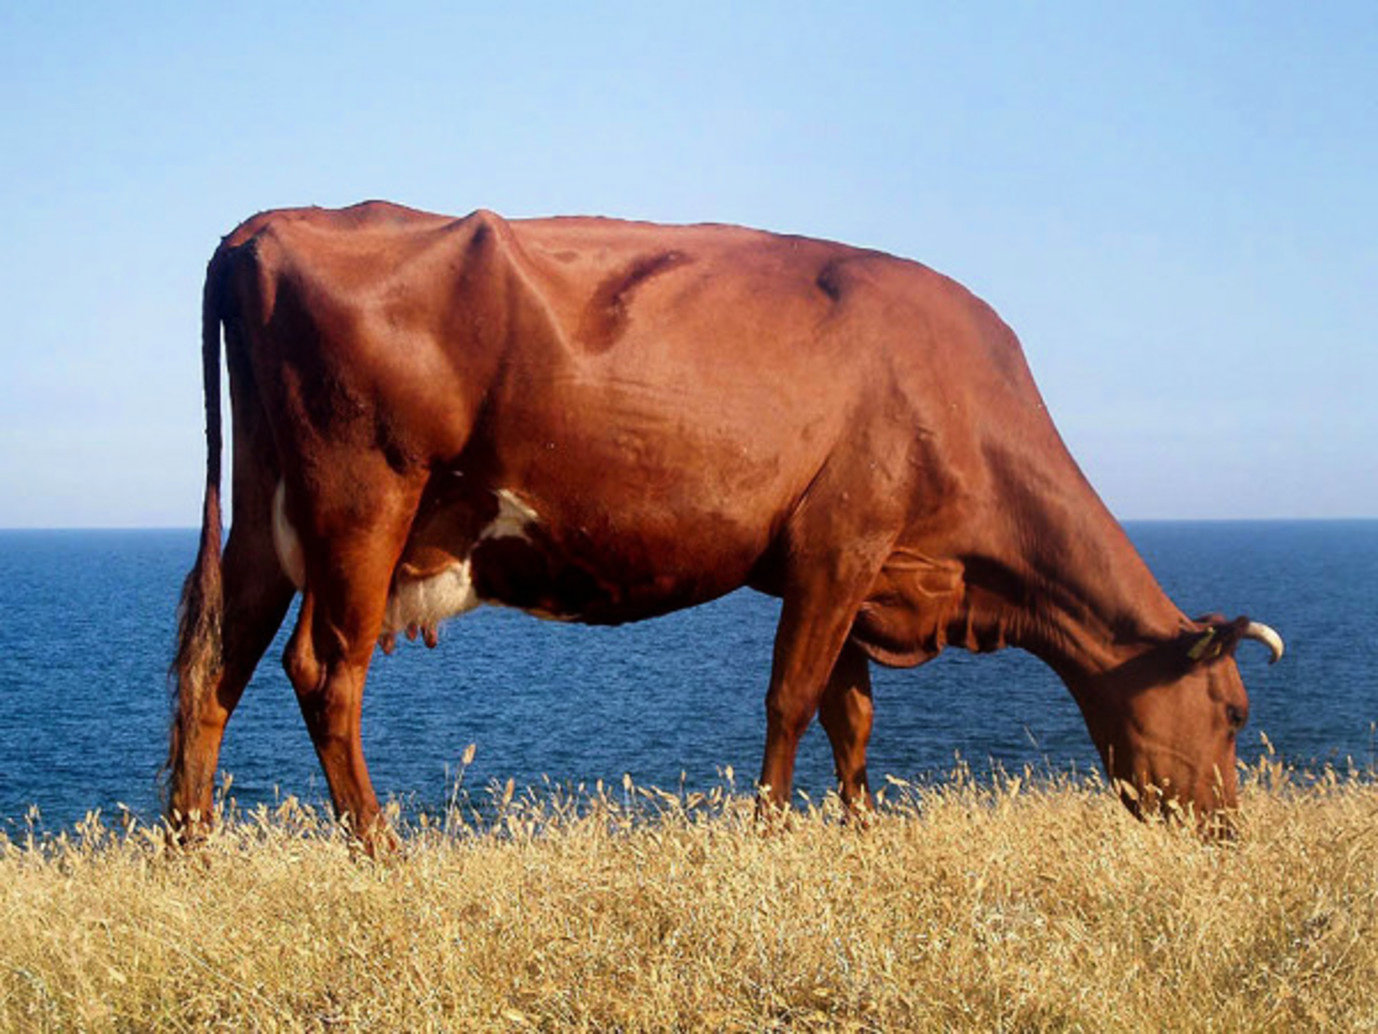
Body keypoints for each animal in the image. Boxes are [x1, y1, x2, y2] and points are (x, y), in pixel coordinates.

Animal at [166, 204, 1284, 849]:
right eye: (1233, 712)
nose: (1231, 829)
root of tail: (265, 225)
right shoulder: (842, 539)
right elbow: (792, 700)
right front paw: (770, 834)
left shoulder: (853, 567)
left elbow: (850, 712)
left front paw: (859, 834)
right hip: (362, 496)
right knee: (325, 670)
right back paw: (381, 849)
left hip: (270, 512)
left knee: (215, 659)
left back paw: (190, 847)